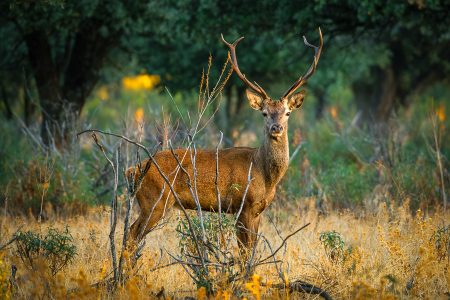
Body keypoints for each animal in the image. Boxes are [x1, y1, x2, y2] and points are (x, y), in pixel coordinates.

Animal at [126, 27, 324, 258]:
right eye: (264, 113)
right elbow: (244, 252)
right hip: (154, 201)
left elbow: (252, 250)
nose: (276, 128)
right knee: (131, 235)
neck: (265, 174)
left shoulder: (258, 211)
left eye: (288, 113)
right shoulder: (243, 206)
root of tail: (132, 170)